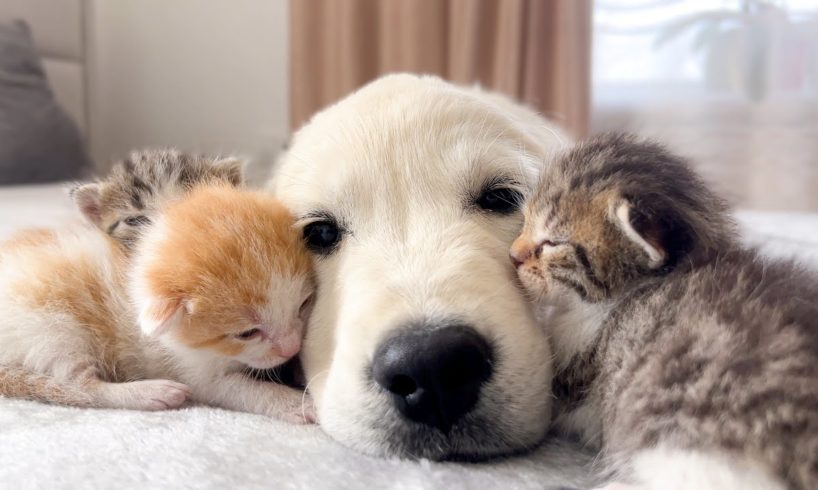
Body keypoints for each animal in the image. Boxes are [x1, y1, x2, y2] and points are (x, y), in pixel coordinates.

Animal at [0, 186, 314, 424]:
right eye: (247, 333)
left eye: (303, 305)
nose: (291, 348)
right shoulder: (191, 370)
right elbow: (235, 388)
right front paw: (295, 403)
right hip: (50, 326)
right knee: (79, 386)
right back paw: (150, 392)